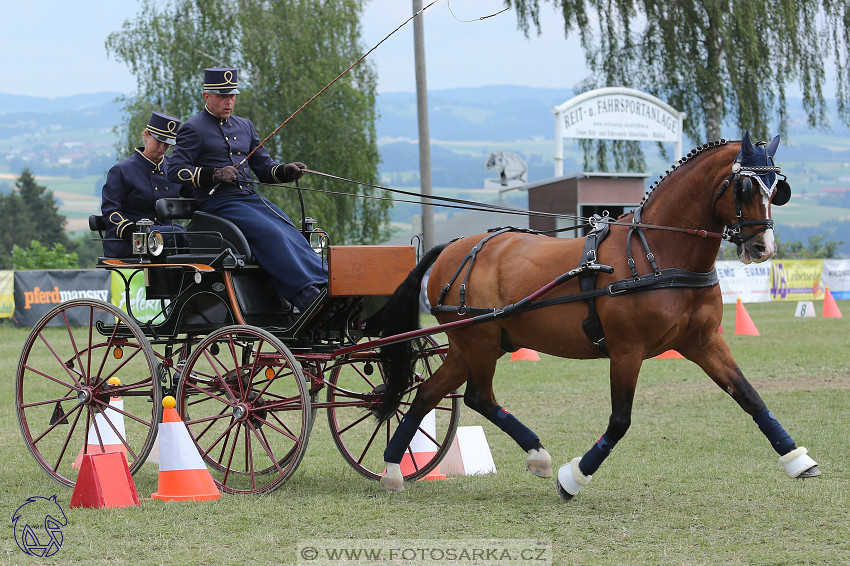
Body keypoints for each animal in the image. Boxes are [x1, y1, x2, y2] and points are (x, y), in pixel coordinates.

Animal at [370, 133, 816, 502]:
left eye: (778, 188)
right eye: (745, 187)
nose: (763, 247)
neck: (657, 252)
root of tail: (454, 247)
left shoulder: (703, 342)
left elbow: (749, 396)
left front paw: (797, 458)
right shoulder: (626, 351)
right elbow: (620, 421)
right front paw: (573, 479)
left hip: (477, 344)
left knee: (429, 393)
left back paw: (394, 470)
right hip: (479, 341)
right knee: (477, 397)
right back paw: (536, 456)